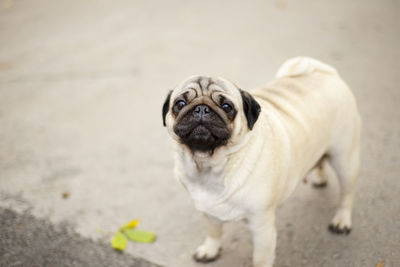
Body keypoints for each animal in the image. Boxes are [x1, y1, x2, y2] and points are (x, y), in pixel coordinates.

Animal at [161, 57, 360, 266]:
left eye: (227, 107)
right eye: (180, 103)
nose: (201, 108)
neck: (211, 165)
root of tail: (325, 72)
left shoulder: (262, 226)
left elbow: (260, 259)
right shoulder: (209, 213)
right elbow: (214, 233)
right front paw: (210, 250)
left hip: (345, 160)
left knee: (347, 194)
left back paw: (342, 220)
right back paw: (320, 177)